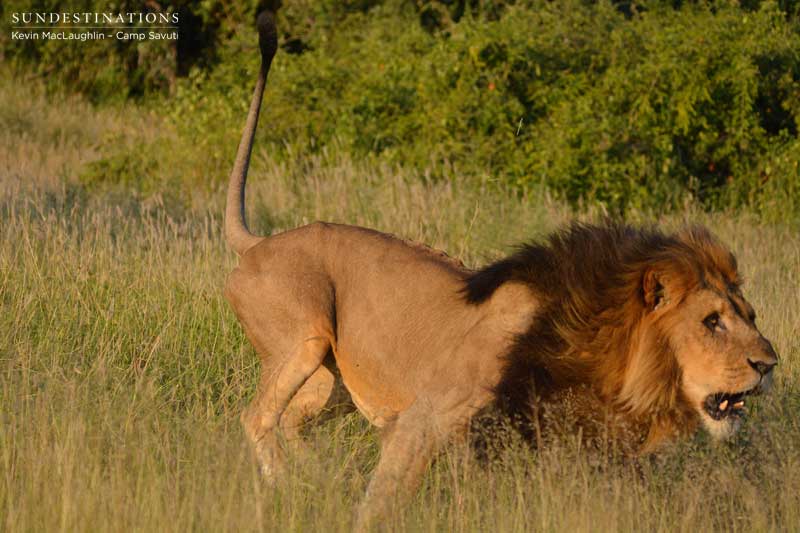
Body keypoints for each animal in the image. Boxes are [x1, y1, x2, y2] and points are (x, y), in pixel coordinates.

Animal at [223, 12, 778, 529]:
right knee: (256, 418)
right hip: (305, 341)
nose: (770, 365)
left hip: (329, 384)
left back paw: (316, 483)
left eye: (751, 316)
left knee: (291, 421)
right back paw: (290, 492)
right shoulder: (425, 418)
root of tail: (259, 242)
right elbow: (383, 500)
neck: (605, 354)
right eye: (711, 322)